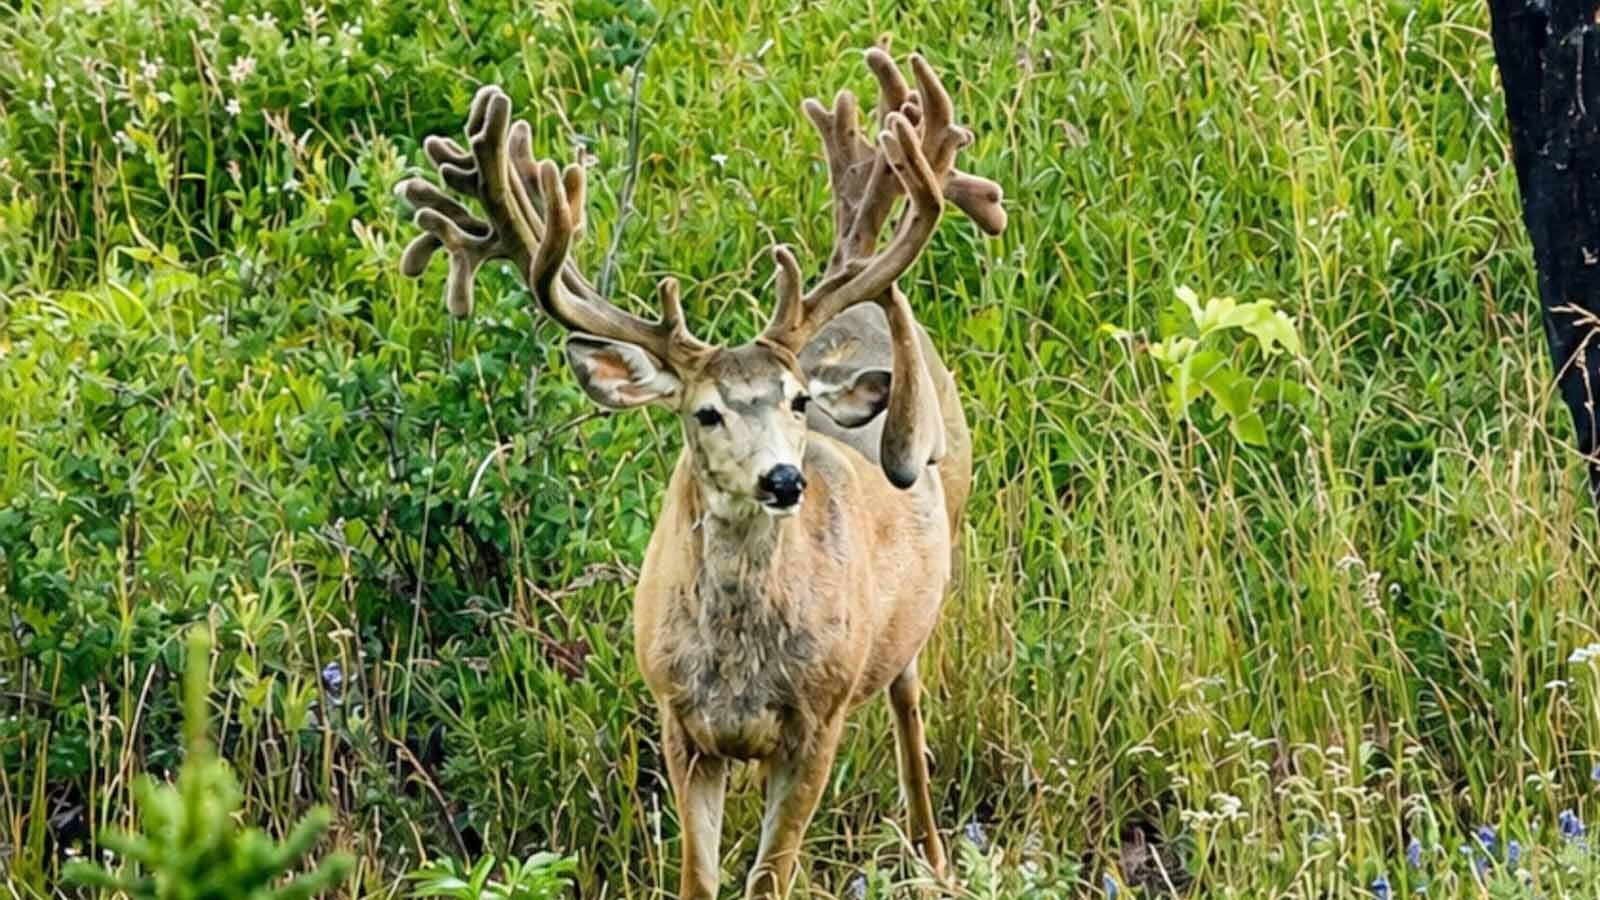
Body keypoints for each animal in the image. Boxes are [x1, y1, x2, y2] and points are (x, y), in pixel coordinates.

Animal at [395, 48, 1005, 898]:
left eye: (797, 400)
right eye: (705, 412)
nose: (784, 481)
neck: (738, 666)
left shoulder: (817, 724)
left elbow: (768, 878)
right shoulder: (678, 721)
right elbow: (700, 878)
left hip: (923, 590)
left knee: (910, 707)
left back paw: (935, 859)